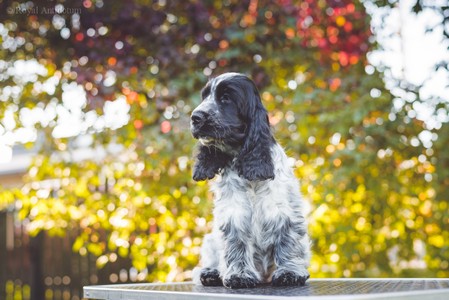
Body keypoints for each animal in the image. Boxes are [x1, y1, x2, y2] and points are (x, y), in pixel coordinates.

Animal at [188, 72, 308, 288]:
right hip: (210, 239)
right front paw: (240, 275)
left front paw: (290, 273)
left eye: (226, 98)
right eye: (204, 96)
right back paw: (210, 273)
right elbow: (237, 244)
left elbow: (287, 242)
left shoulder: (281, 211)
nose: (195, 117)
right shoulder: (234, 212)